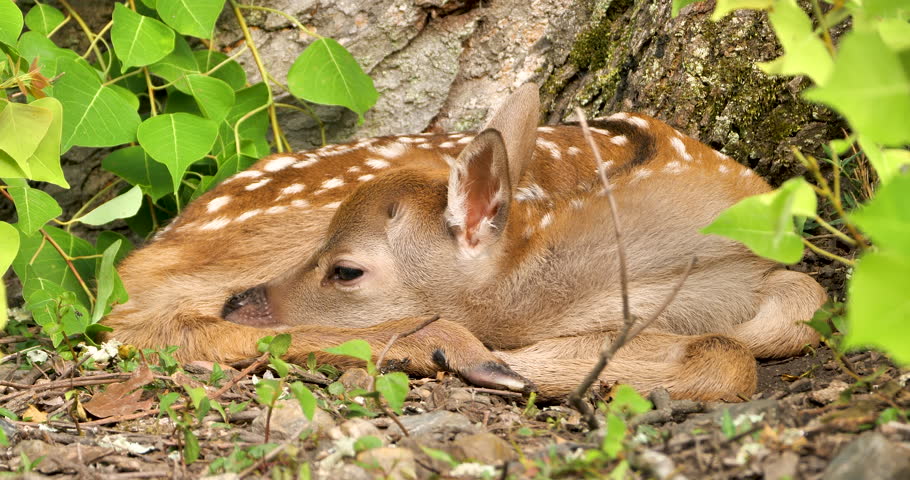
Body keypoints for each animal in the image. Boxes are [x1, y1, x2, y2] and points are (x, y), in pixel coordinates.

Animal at [102, 84, 827, 401]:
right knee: (155, 320)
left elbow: (803, 304)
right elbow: (734, 350)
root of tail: (153, 248)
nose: (244, 301)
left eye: (347, 271)